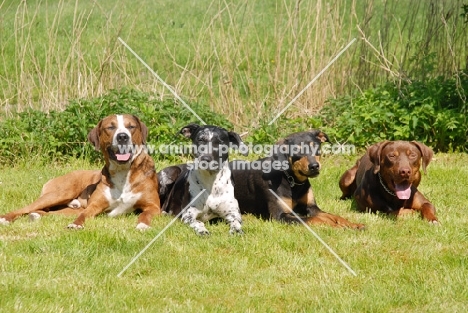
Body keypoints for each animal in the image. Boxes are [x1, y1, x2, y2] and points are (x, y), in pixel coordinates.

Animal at [0, 113, 161, 228]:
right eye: (110, 128)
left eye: (131, 127)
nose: (122, 137)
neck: (123, 172)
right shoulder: (94, 206)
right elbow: (83, 215)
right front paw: (75, 224)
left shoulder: (153, 207)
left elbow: (145, 215)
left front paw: (142, 225)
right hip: (60, 193)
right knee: (27, 208)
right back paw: (6, 218)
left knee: (49, 212)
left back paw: (36, 216)